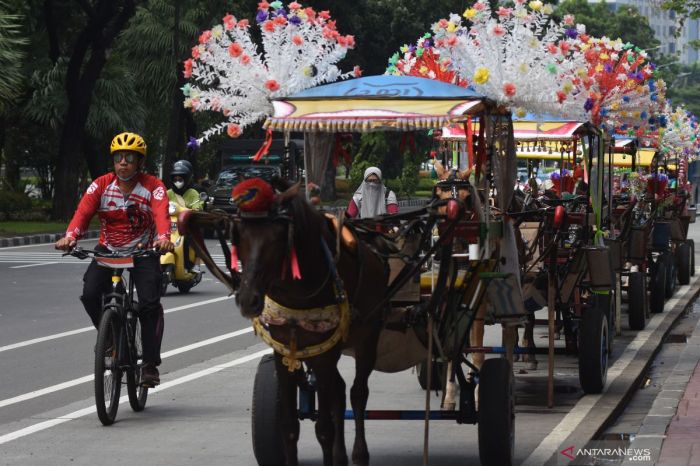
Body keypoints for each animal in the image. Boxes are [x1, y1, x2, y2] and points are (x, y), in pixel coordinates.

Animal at [234, 178, 388, 466]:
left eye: (278, 236)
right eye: (240, 234)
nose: (247, 299)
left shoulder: (325, 354)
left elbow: (324, 429)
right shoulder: (285, 352)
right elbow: (289, 426)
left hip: (368, 336)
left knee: (357, 393)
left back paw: (359, 454)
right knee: (339, 392)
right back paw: (340, 455)